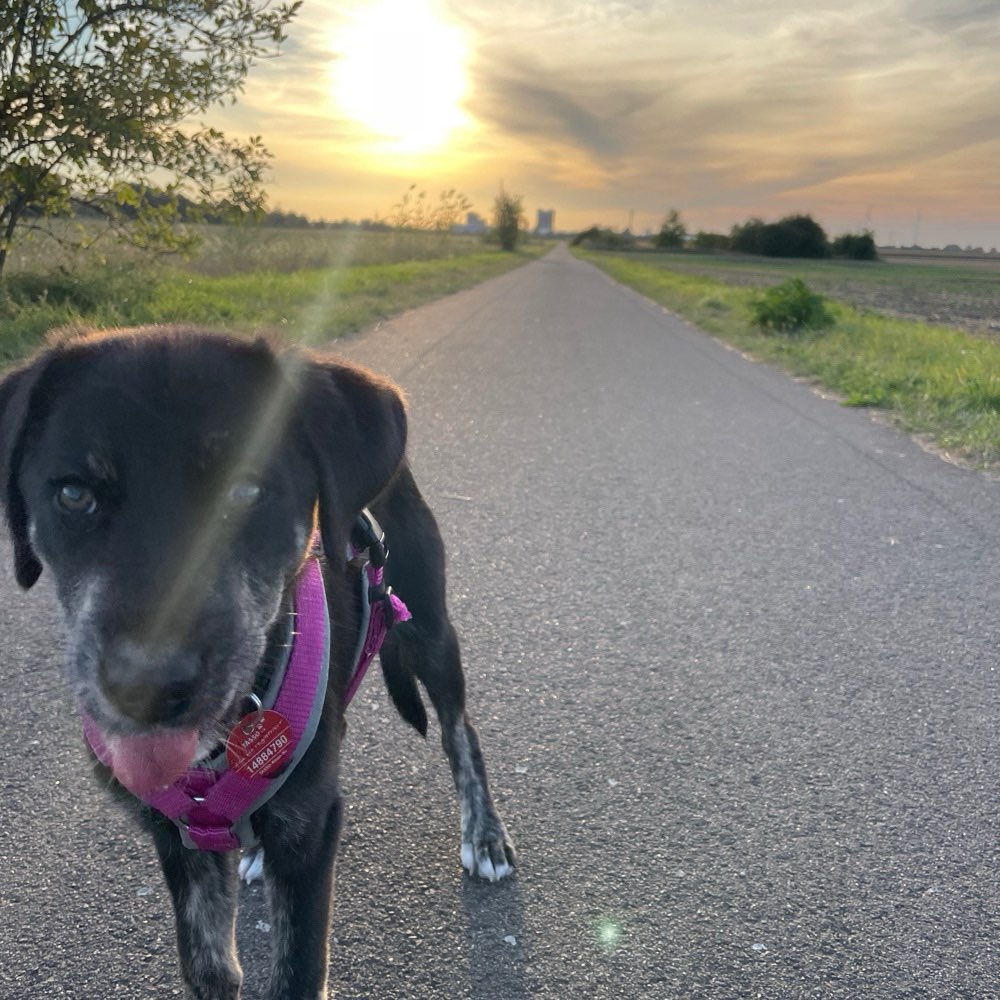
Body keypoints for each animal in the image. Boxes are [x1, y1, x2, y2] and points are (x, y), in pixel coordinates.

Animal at [0, 324, 516, 996]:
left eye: (245, 490)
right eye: (72, 493)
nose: (144, 689)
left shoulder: (310, 832)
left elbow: (298, 970)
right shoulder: (178, 841)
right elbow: (209, 966)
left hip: (428, 625)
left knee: (460, 728)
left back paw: (485, 833)